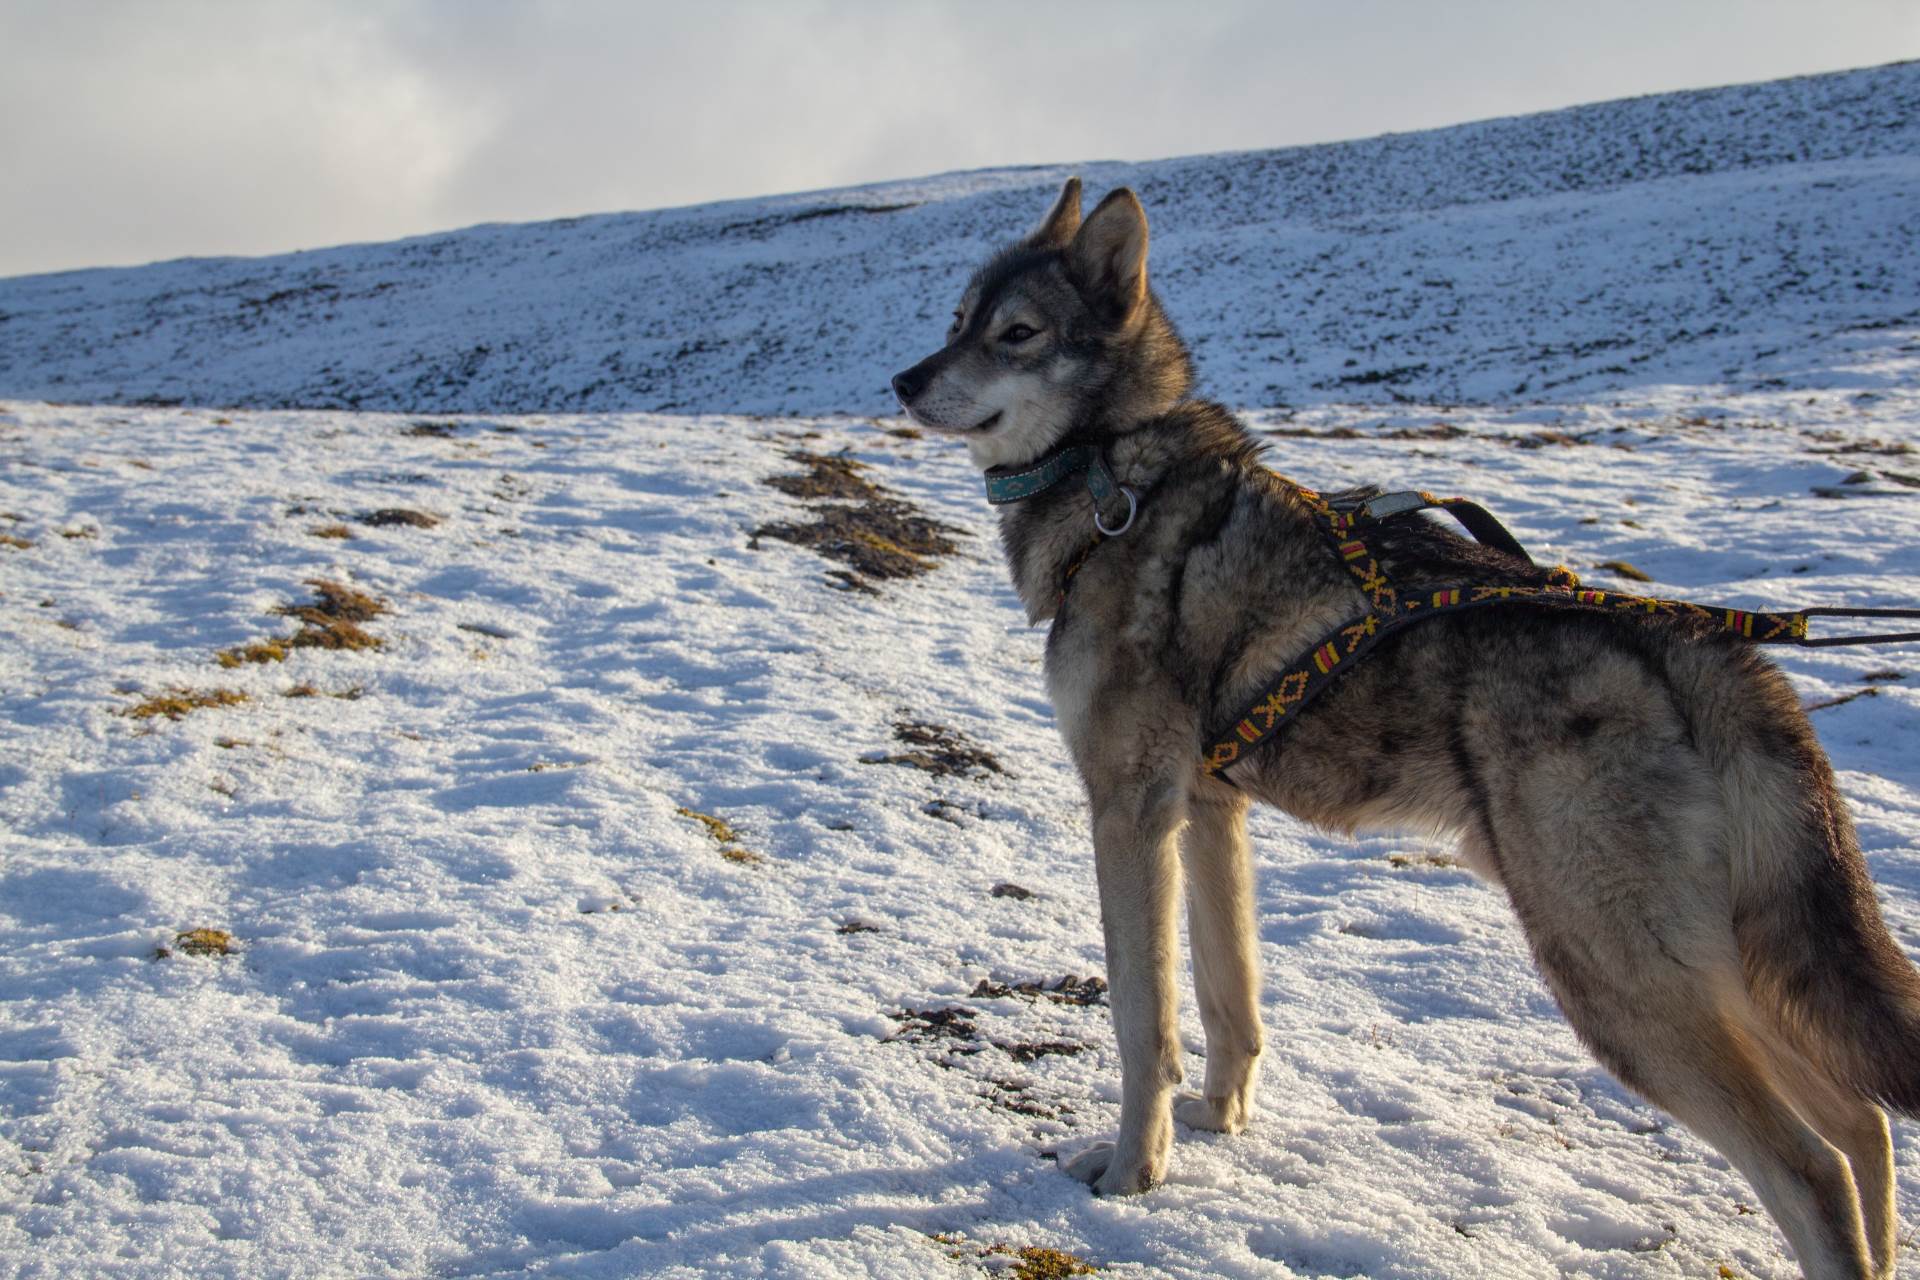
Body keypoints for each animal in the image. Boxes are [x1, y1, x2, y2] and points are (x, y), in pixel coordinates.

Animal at [890, 180, 1920, 1280]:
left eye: (1018, 333)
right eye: (957, 318)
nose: (904, 380)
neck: (1114, 481)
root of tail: (1696, 649)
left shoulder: (1131, 812)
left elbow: (1142, 1020)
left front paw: (1134, 1173)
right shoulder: (1209, 811)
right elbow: (1227, 999)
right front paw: (1219, 1119)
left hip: (1616, 974)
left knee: (1812, 1163)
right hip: (1719, 965)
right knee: (1864, 1124)